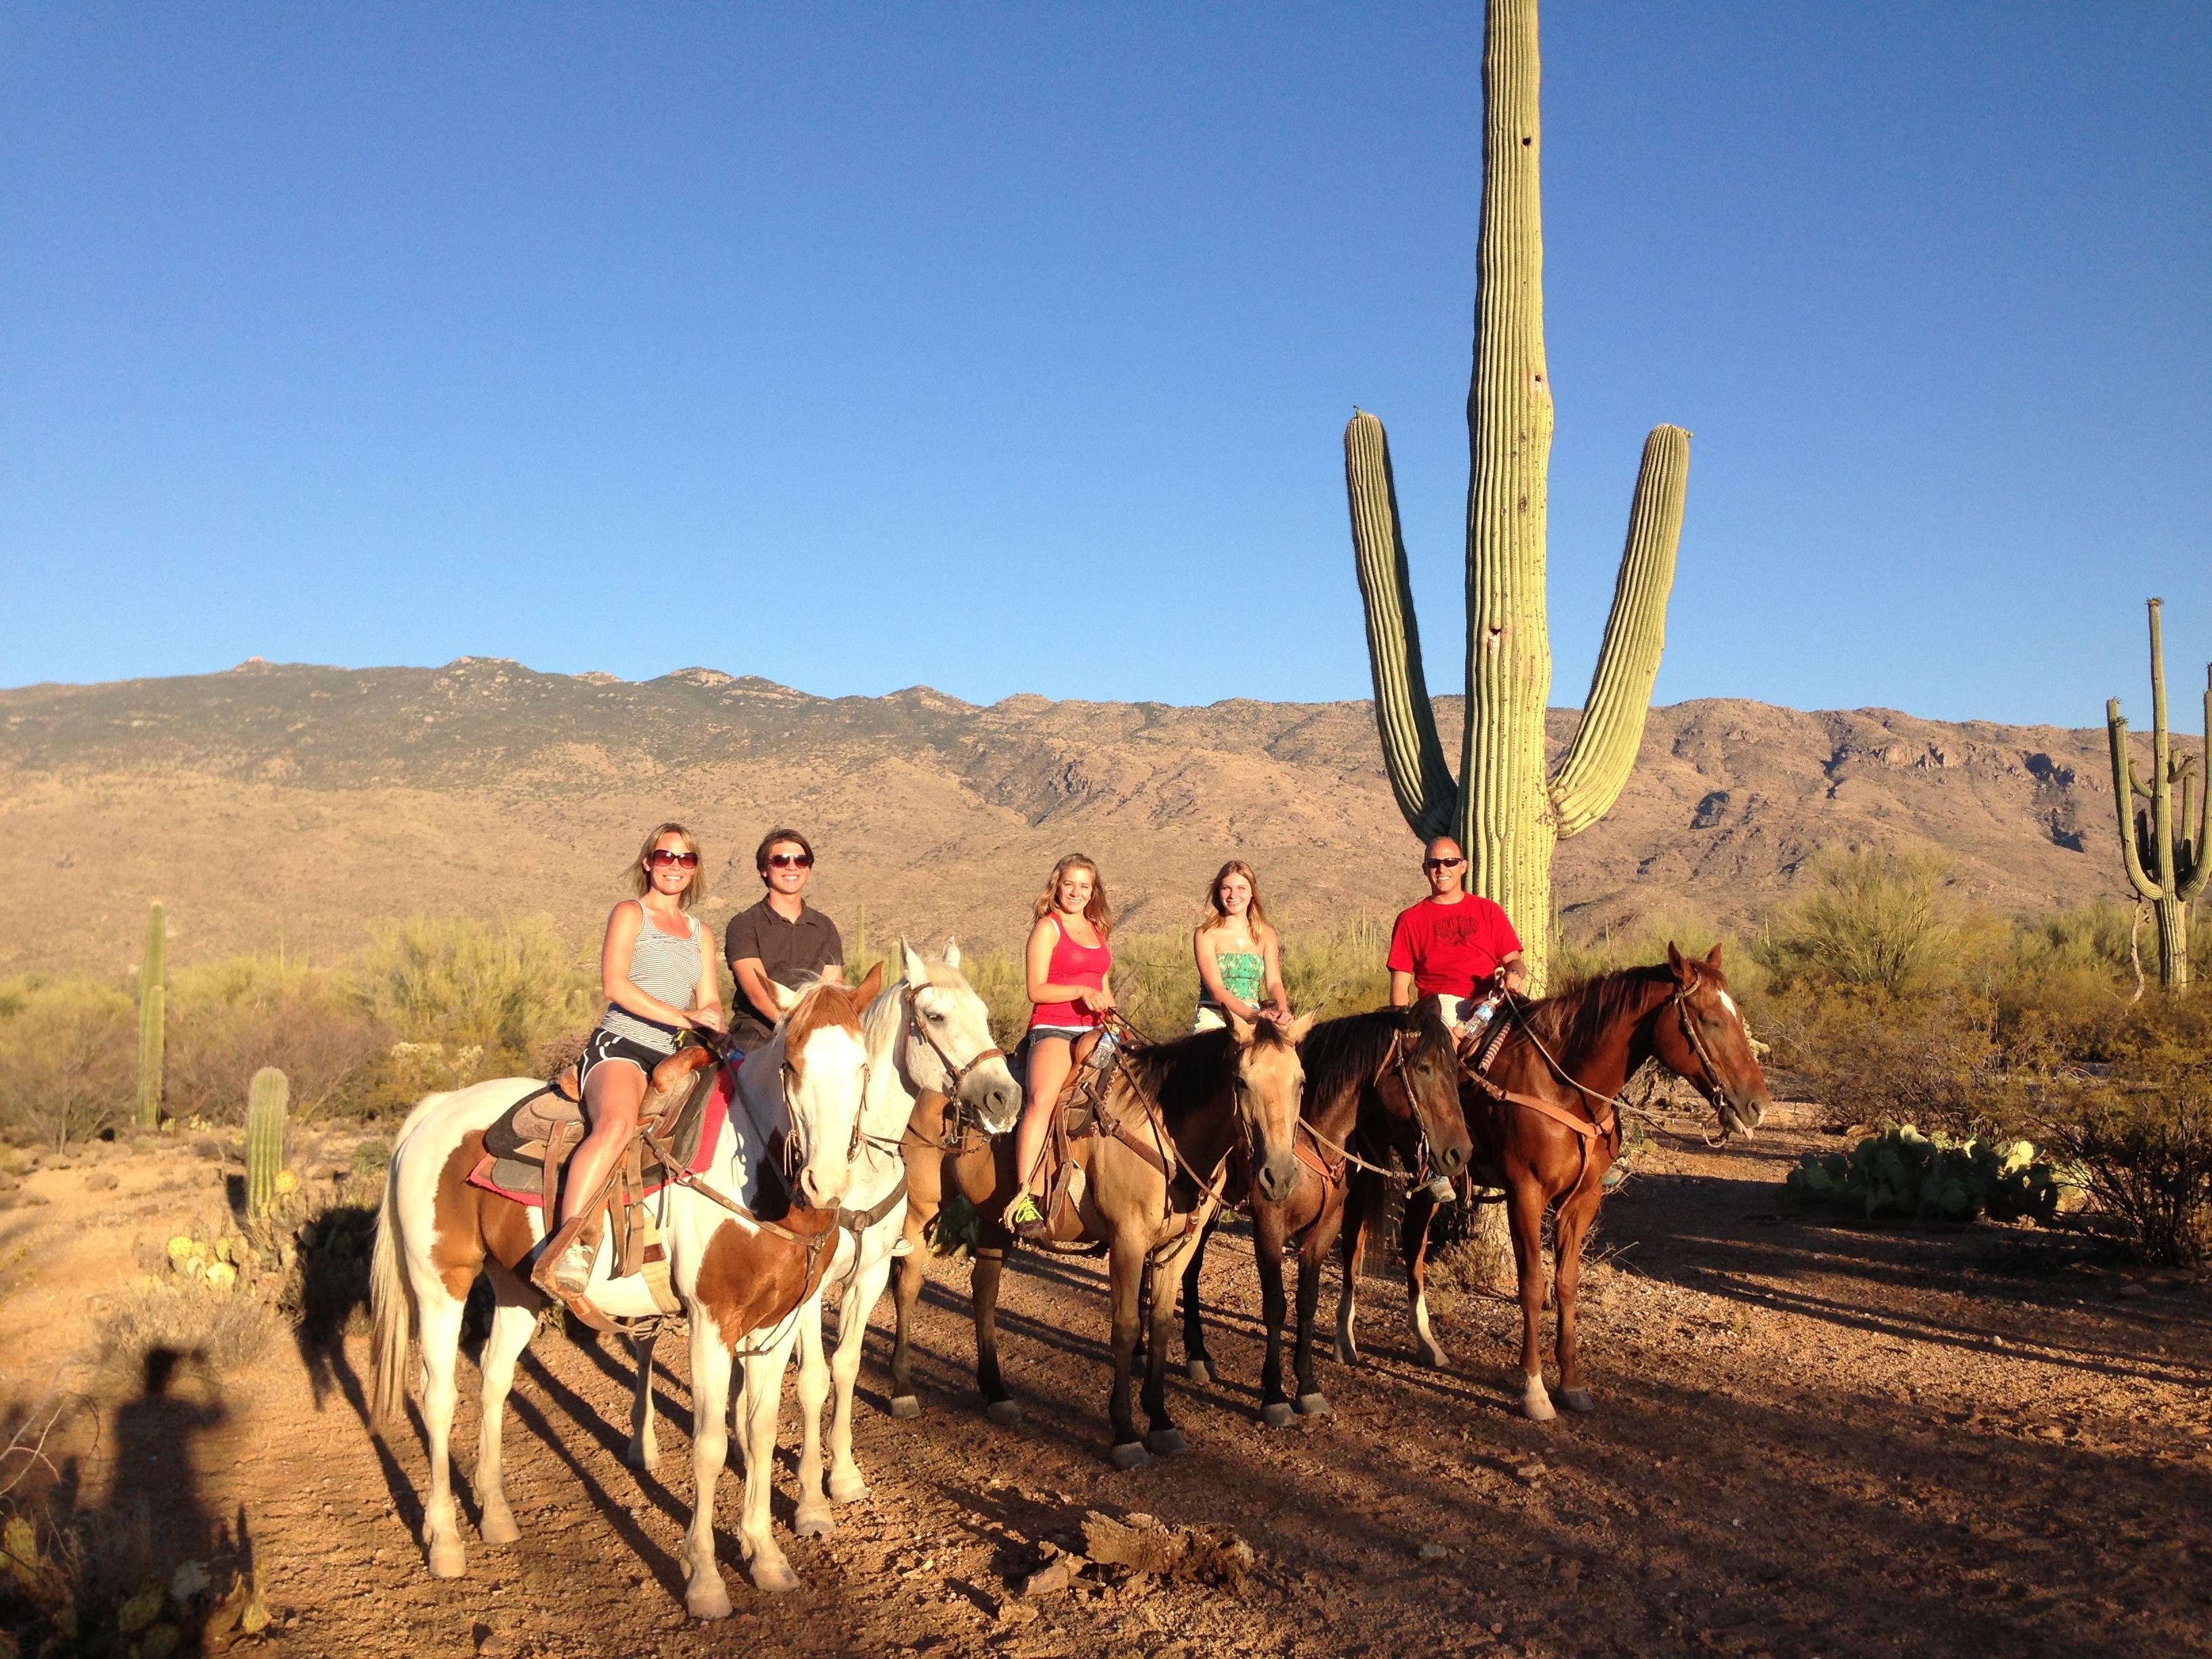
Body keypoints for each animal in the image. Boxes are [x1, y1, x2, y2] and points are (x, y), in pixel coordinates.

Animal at [371, 968, 880, 1619]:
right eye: (791, 1065)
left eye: (863, 1065)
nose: (826, 1181)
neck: (760, 1184)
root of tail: (435, 1111)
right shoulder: (711, 1325)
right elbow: (711, 1444)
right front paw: (705, 1580)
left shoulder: (775, 1328)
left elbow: (762, 1432)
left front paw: (766, 1558)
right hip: (441, 1284)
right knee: (439, 1398)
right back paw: (445, 1543)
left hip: (515, 1287)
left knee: (493, 1381)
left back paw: (498, 1517)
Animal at [628, 946, 1021, 1548]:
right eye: (935, 1017)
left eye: (981, 1010)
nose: (1004, 1096)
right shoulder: (809, 1292)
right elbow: (812, 1380)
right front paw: (812, 1501)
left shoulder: (870, 1274)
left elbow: (847, 1366)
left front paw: (844, 1474)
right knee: (647, 1342)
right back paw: (643, 1445)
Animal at [889, 1012, 1309, 1469]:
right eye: (1240, 1081)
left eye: (1300, 1082)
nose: (1279, 1176)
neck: (1165, 1129)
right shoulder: (1128, 1241)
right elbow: (1125, 1328)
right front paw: (1125, 1433)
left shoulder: (1175, 1251)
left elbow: (1161, 1324)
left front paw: (1161, 1421)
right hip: (920, 1208)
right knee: (907, 1285)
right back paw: (902, 1389)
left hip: (994, 1218)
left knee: (984, 1291)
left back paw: (996, 1393)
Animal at [1168, 1000, 1477, 1433]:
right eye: (1424, 1068)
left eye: (1456, 1070)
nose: (1460, 1153)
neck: (1309, 1140)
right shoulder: (1269, 1226)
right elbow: (1275, 1306)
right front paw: (1274, 1396)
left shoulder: (1325, 1230)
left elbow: (1308, 1303)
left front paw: (1308, 1388)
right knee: (1189, 1268)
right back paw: (1196, 1355)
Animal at [1327, 946, 1761, 1433]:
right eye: (1708, 1020)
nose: (1755, 1105)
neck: (1565, 1087)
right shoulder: (1525, 1194)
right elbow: (1532, 1285)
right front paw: (1534, 1389)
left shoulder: (1583, 1201)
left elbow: (1566, 1284)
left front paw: (1571, 1383)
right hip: (1363, 1162)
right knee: (1355, 1236)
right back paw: (1344, 1339)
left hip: (1430, 1173)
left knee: (1415, 1242)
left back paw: (1427, 1344)